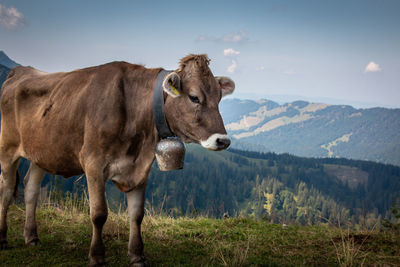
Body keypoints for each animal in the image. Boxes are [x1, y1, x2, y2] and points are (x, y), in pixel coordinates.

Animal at [0, 54, 234, 266]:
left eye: (219, 98)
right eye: (194, 97)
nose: (222, 140)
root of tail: (20, 71)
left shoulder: (140, 169)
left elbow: (137, 214)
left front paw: (137, 256)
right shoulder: (93, 163)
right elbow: (99, 214)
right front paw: (97, 256)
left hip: (41, 153)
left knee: (31, 188)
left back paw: (31, 237)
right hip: (8, 148)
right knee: (7, 190)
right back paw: (3, 238)